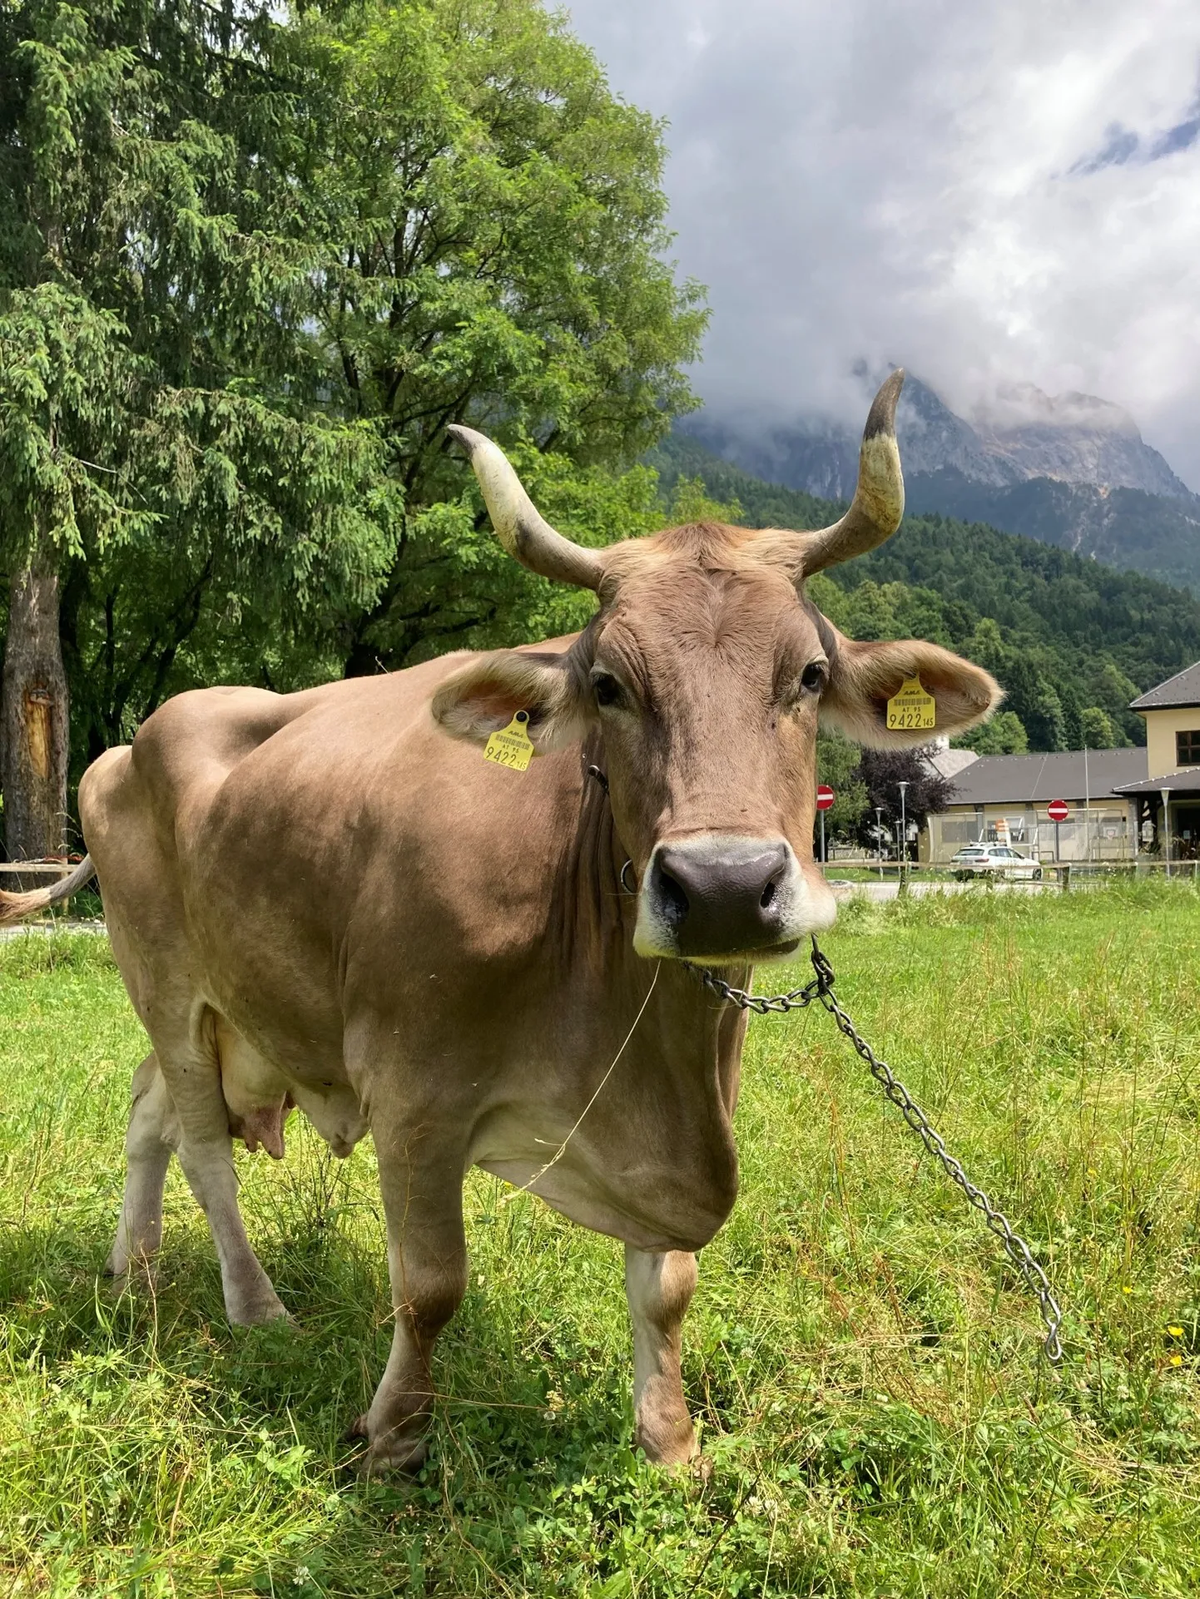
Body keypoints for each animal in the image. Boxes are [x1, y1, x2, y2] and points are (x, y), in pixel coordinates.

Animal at [2, 372, 999, 1473]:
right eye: (608, 684)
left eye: (810, 676)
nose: (724, 884)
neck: (628, 1022)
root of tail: (126, 745)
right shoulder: (414, 1092)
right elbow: (431, 1284)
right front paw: (392, 1434)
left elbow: (668, 1285)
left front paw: (671, 1440)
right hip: (166, 980)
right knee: (202, 1144)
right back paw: (253, 1305)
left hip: (240, 1008)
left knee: (151, 1113)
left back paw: (130, 1271)